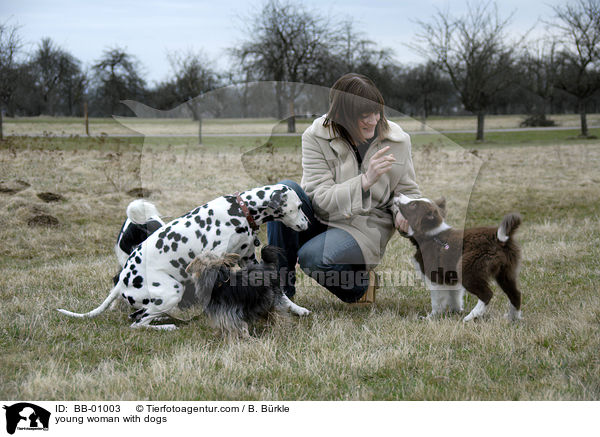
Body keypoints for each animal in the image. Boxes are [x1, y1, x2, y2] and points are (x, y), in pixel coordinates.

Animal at [57, 182, 310, 328]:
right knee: (137, 323)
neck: (240, 211)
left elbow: (277, 290)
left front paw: (295, 309)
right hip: (171, 292)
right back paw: (166, 326)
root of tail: (122, 280)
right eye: (298, 206)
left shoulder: (249, 258)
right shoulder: (215, 261)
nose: (308, 223)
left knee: (140, 315)